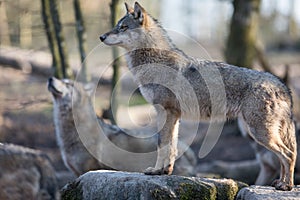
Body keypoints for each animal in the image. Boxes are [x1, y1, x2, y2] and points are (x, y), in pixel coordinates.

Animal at [47, 76, 197, 177]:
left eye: (68, 83)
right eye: (62, 80)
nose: (50, 78)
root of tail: (187, 150)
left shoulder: (88, 170)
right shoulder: (77, 173)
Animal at [99, 1, 296, 191]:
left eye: (123, 27)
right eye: (117, 26)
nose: (101, 37)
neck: (155, 61)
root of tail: (281, 85)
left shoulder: (165, 111)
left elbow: (162, 145)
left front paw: (156, 171)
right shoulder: (173, 115)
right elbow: (171, 147)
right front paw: (164, 171)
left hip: (259, 133)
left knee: (288, 154)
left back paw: (286, 186)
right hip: (258, 132)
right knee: (286, 156)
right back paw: (281, 183)